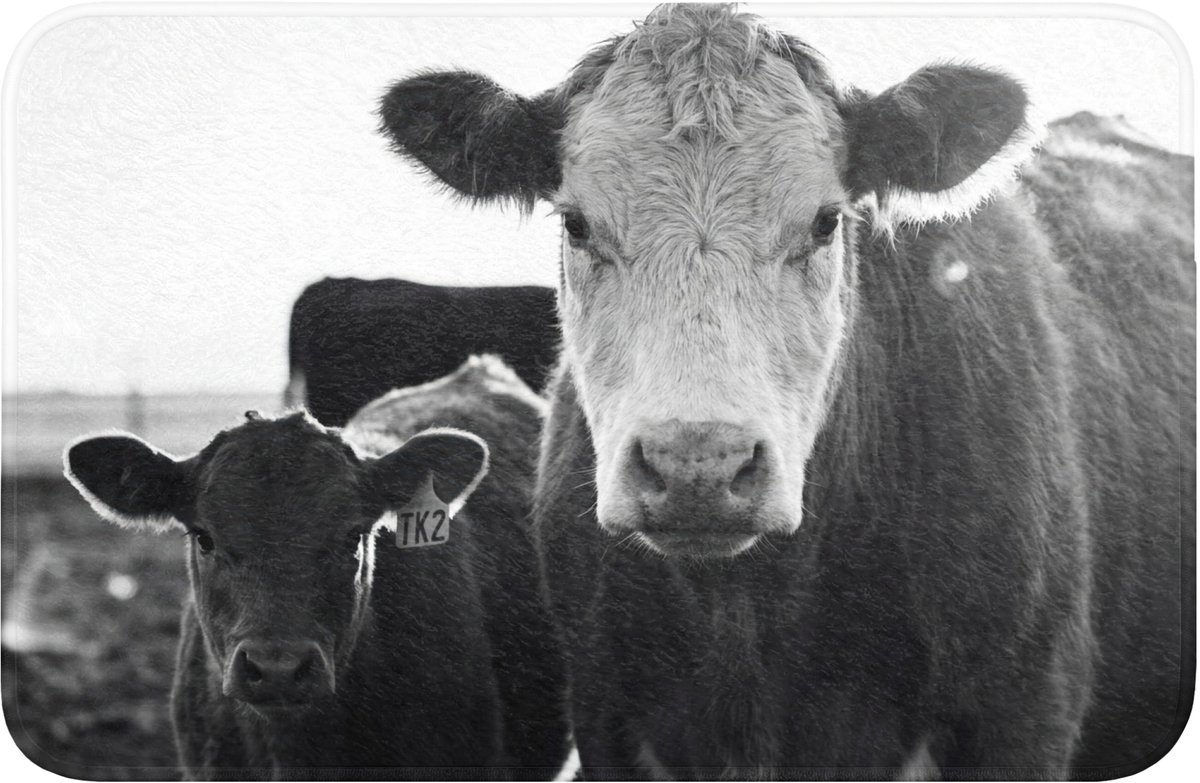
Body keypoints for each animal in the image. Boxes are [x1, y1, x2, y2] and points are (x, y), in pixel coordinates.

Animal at [376, 4, 1195, 779]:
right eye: (576, 223)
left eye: (827, 220)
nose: (697, 466)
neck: (750, 628)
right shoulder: (608, 716)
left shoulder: (1022, 707)